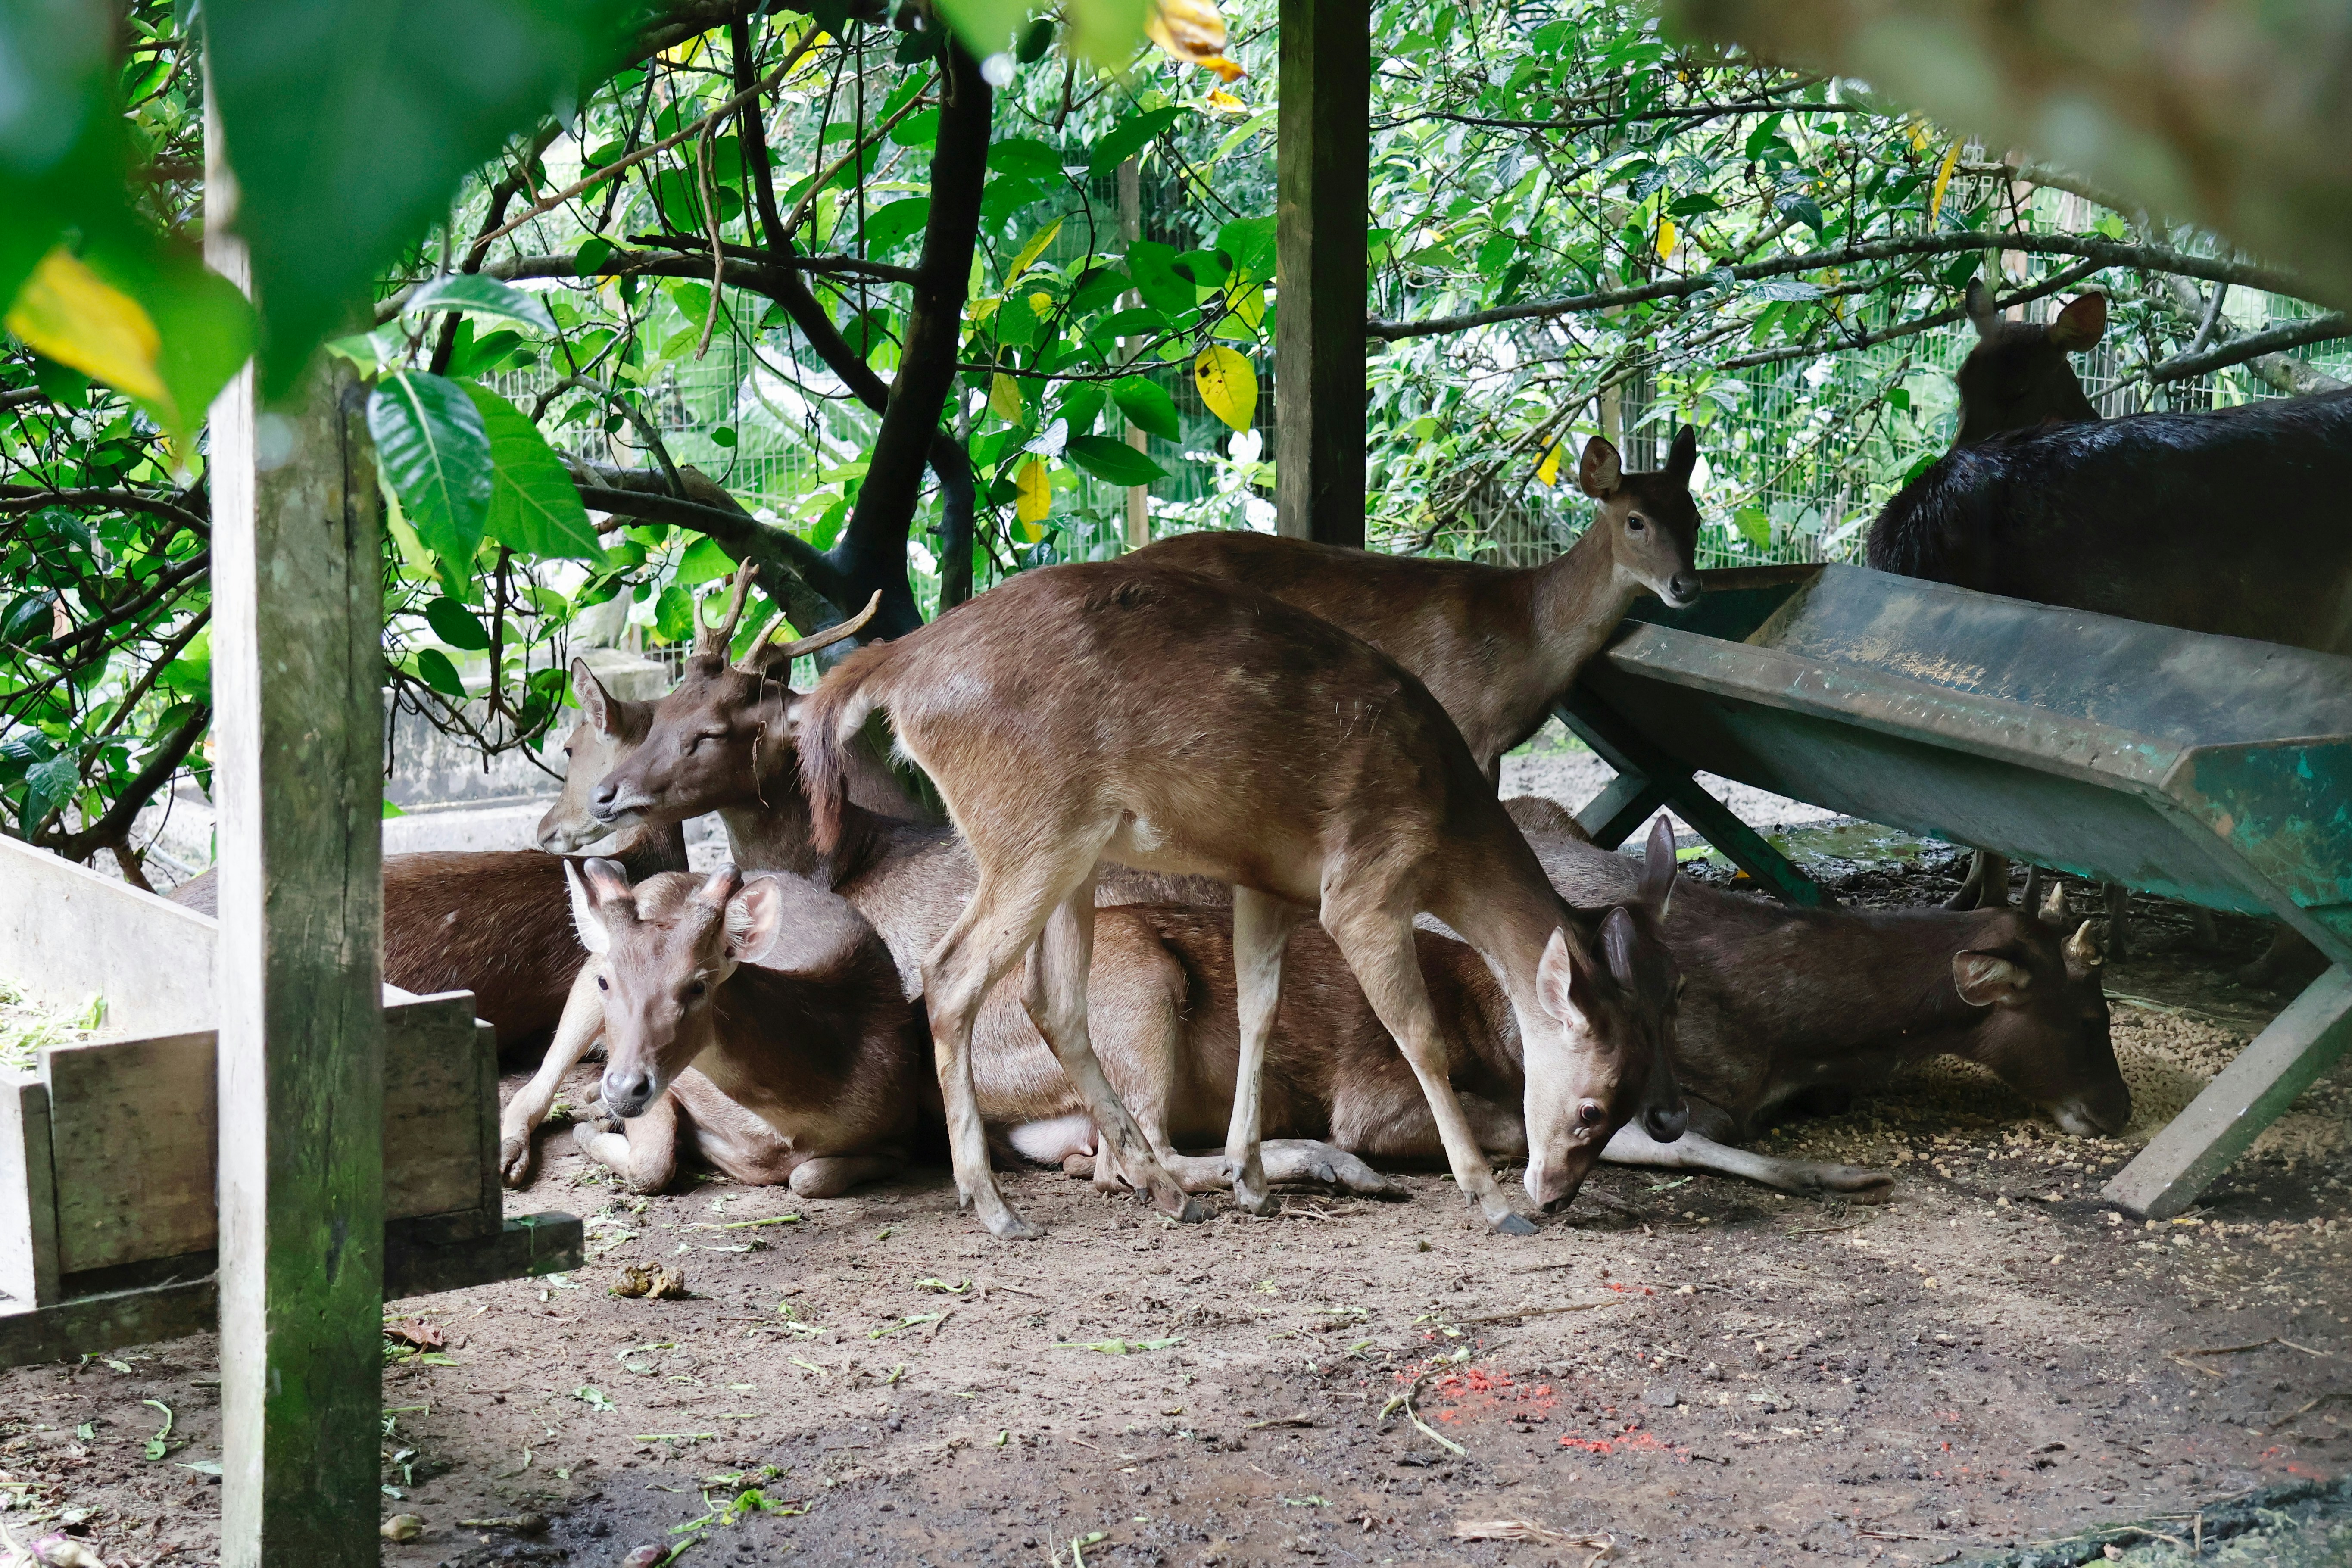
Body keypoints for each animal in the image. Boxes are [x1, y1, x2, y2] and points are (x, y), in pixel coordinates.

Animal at [797, 560, 1688, 1240]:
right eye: (1592, 1106)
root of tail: (890, 668)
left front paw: (1250, 1176)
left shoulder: (1266, 878)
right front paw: (1489, 1198)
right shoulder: (1360, 885)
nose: (1556, 1195)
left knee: (1051, 999)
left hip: (1071, 854)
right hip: (1029, 833)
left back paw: (1170, 1188)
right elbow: (1420, 1035)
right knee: (951, 974)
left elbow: (1259, 1007)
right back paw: (995, 1206)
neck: (1445, 829)